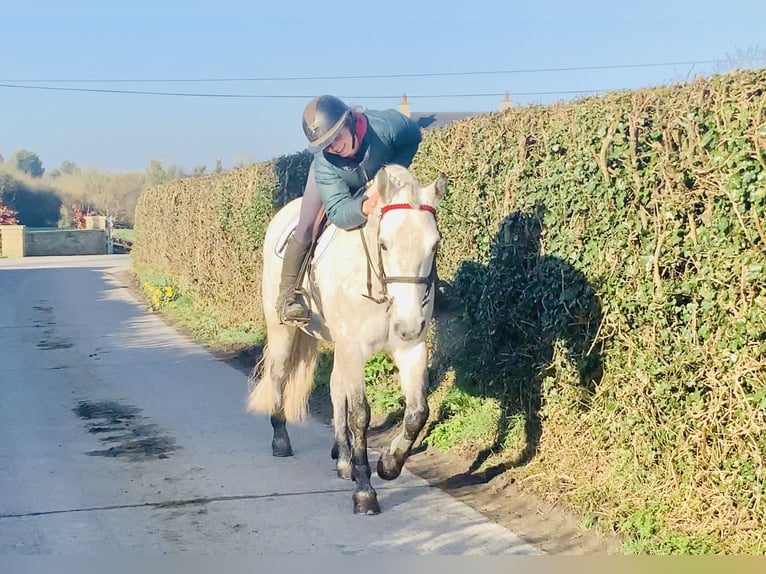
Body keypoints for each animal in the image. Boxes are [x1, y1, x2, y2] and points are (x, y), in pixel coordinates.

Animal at [246, 164, 446, 515]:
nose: (408, 324)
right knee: (279, 376)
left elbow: (418, 412)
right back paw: (281, 440)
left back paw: (342, 458)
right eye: (384, 244)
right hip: (283, 329)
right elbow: (360, 415)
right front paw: (365, 490)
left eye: (434, 245)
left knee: (336, 386)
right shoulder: (355, 349)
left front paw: (389, 464)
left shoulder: (411, 349)